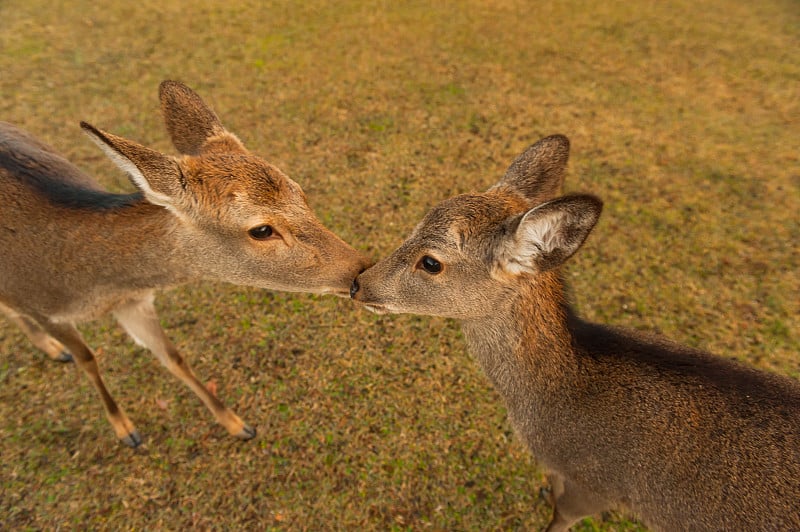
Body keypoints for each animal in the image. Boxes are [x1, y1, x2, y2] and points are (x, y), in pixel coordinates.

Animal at [0, 81, 372, 446]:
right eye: (262, 230)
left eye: (301, 192)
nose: (362, 272)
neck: (94, 286)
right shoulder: (40, 307)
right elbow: (88, 358)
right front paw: (126, 431)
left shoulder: (135, 302)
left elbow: (173, 357)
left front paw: (237, 424)